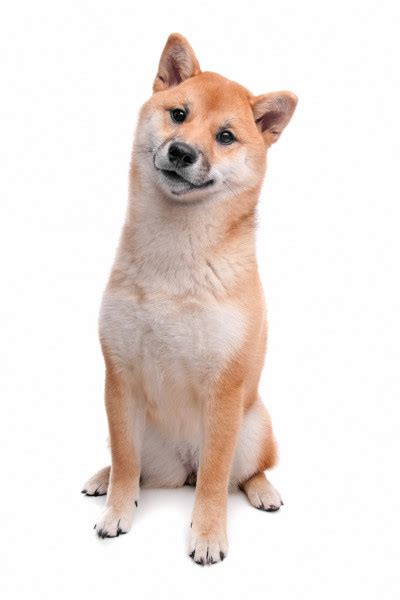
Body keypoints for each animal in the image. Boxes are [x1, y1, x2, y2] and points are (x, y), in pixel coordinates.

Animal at [83, 34, 296, 568]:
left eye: (226, 136)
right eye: (178, 114)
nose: (181, 151)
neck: (176, 257)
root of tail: (181, 466)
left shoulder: (224, 388)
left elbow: (217, 480)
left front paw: (208, 534)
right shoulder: (118, 376)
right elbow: (125, 460)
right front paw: (117, 510)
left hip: (253, 424)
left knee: (242, 471)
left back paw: (263, 490)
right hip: (134, 432)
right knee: (130, 463)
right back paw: (102, 478)